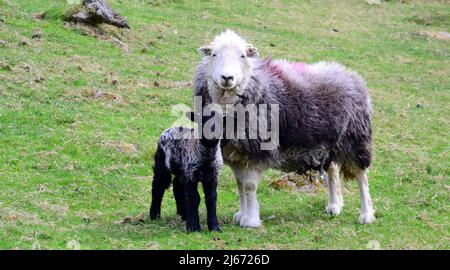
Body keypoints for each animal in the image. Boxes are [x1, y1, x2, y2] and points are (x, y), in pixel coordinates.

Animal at [195, 30, 374, 228]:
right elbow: (240, 185)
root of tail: (349, 73)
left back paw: (366, 215)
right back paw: (334, 205)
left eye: (242, 56)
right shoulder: (237, 152)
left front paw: (251, 220)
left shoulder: (258, 150)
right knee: (333, 170)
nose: (227, 78)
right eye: (214, 54)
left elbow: (249, 186)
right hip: (329, 144)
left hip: (355, 139)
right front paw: (241, 215)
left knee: (362, 177)